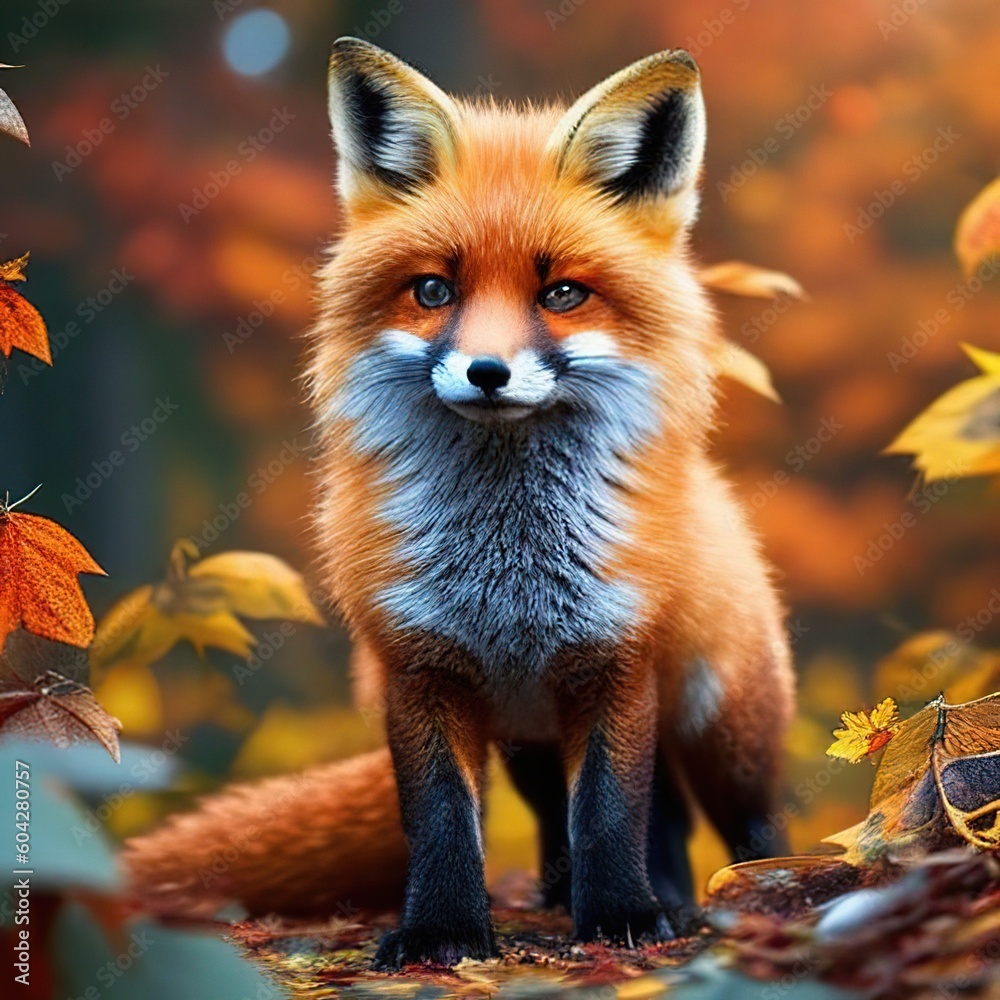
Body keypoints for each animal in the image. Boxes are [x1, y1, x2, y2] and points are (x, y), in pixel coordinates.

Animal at [124, 39, 795, 969]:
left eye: (562, 294)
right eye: (434, 292)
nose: (487, 372)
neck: (507, 568)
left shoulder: (615, 663)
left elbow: (609, 813)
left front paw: (621, 917)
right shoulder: (421, 667)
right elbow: (443, 819)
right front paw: (444, 933)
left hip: (719, 720)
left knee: (742, 816)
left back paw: (752, 891)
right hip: (531, 744)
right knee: (610, 819)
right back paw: (584, 898)